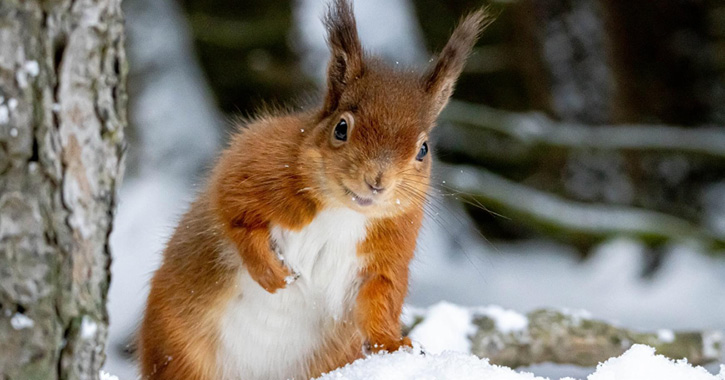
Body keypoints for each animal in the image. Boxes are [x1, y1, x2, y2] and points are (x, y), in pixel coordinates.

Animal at [138, 1, 484, 378]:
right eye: (341, 128)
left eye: (423, 149)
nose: (377, 181)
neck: (343, 211)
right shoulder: (253, 162)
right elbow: (234, 213)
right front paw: (271, 273)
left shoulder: (388, 252)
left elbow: (380, 299)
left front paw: (395, 343)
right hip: (179, 351)